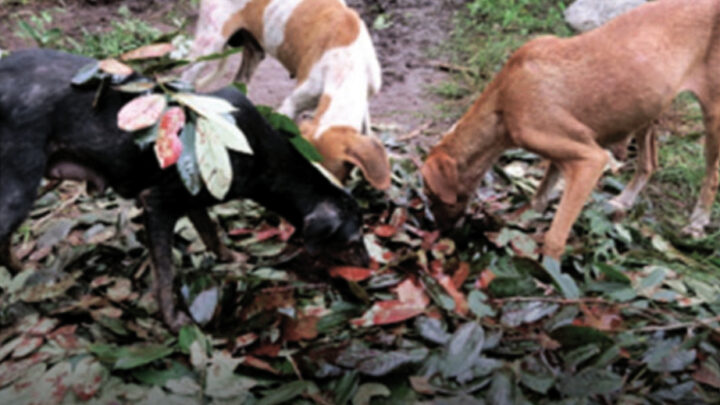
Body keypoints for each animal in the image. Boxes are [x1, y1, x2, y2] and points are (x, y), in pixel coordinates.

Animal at [0, 49, 368, 330]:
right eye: (352, 240)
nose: (369, 266)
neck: (260, 155)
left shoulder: (195, 193)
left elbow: (211, 232)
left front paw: (232, 258)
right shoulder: (157, 203)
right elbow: (165, 274)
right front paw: (173, 320)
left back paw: (26, 273)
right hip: (19, 185)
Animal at [422, 0, 720, 258]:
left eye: (431, 194)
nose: (439, 231)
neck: (503, 101)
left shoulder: (590, 159)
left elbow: (555, 237)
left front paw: (551, 277)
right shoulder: (562, 151)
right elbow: (538, 199)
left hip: (711, 115)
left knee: (711, 175)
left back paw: (698, 221)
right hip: (647, 107)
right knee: (650, 162)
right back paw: (625, 201)